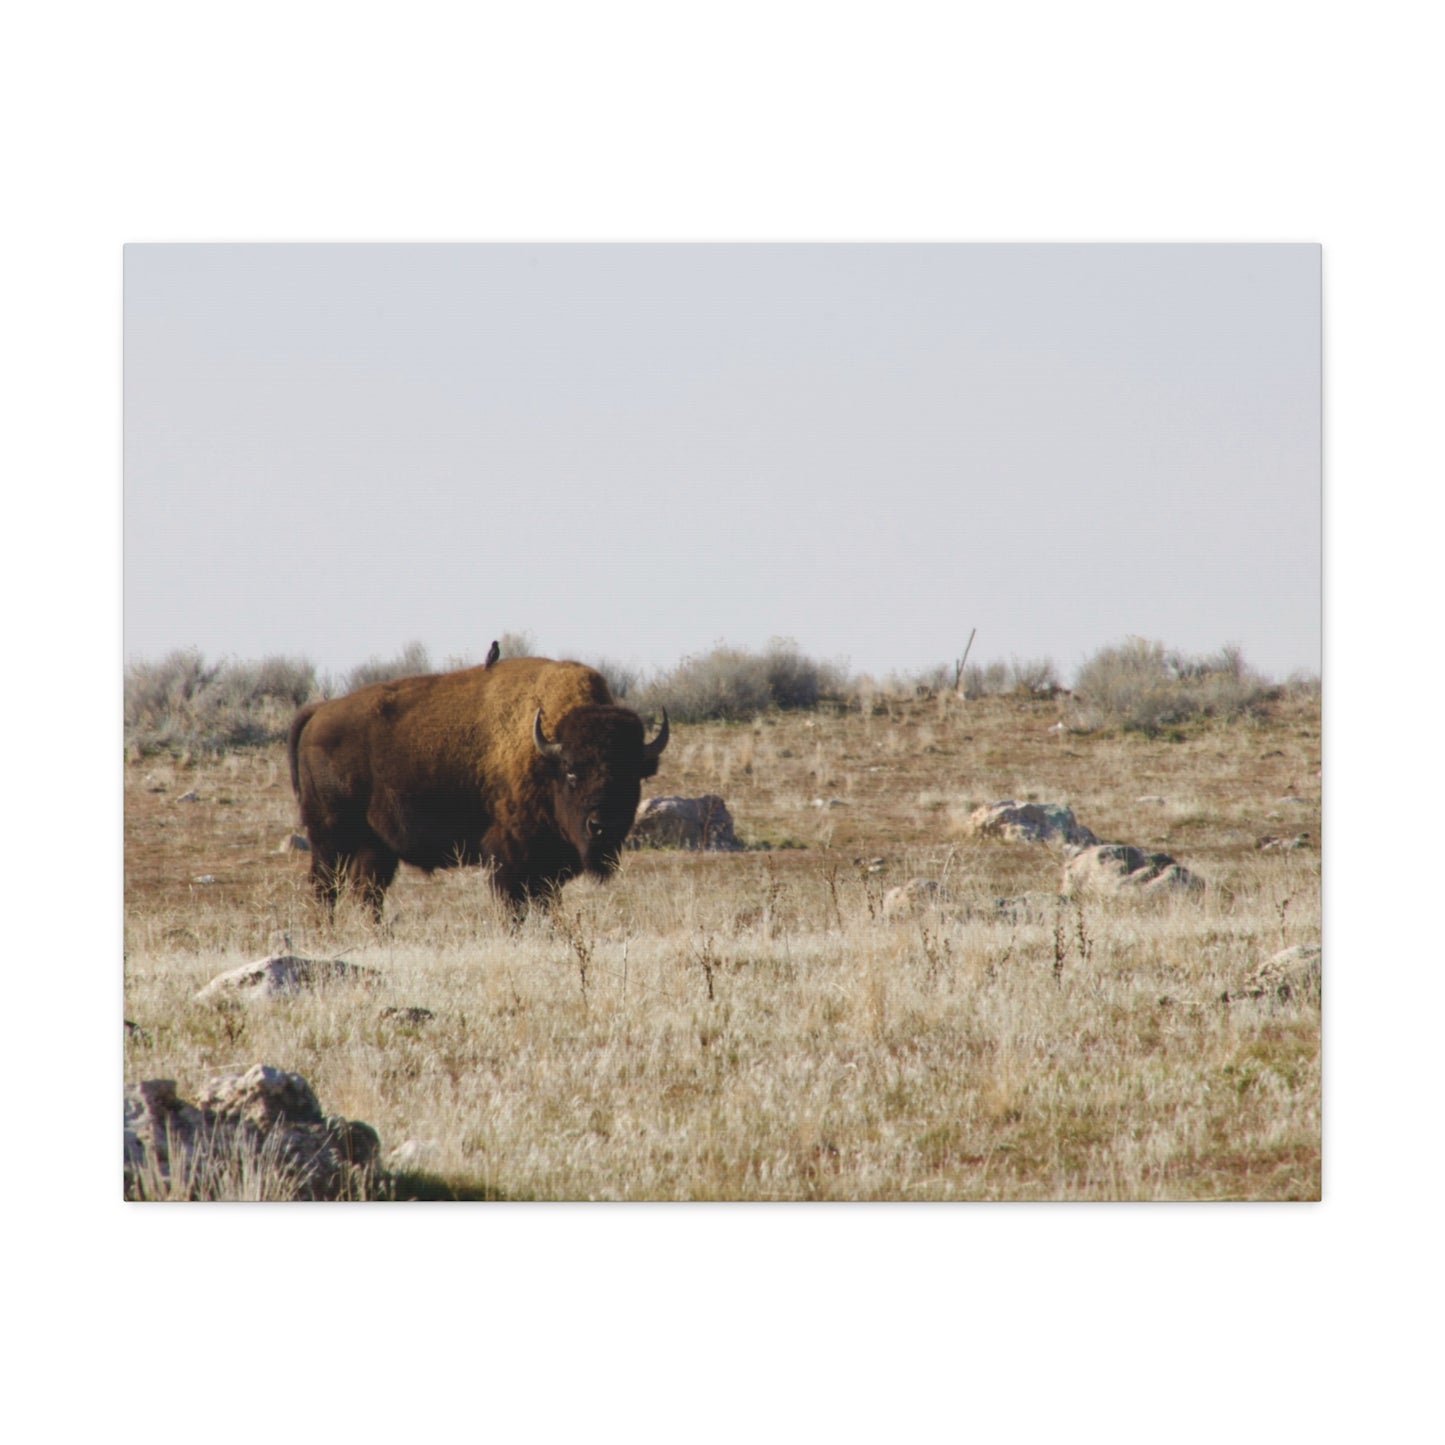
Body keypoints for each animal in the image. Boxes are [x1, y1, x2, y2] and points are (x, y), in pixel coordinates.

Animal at [287, 657, 668, 917]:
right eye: (572, 773)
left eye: (631, 775)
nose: (602, 826)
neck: (545, 755)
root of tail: (319, 712)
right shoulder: (509, 858)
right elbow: (514, 907)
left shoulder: (547, 867)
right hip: (330, 838)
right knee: (326, 888)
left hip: (374, 846)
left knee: (367, 893)